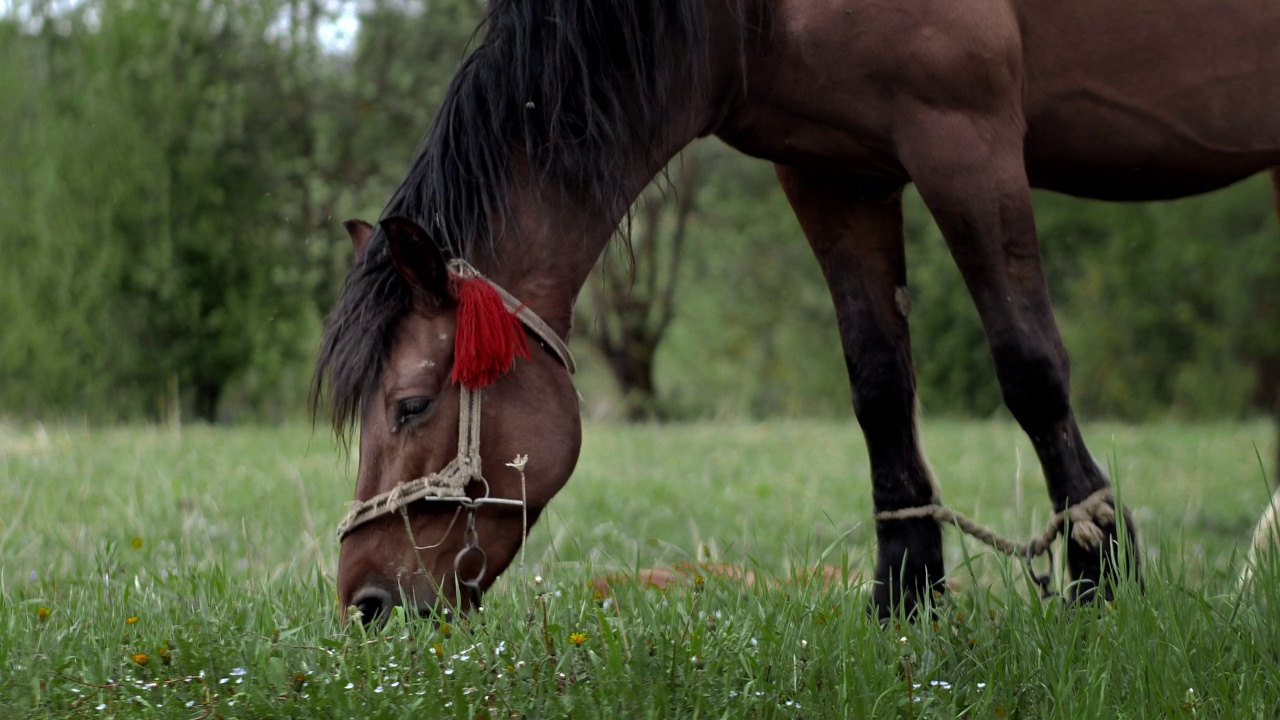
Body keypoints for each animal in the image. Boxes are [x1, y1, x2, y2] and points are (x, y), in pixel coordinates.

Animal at [312, 0, 1280, 620]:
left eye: (410, 405)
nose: (365, 600)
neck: (753, 12)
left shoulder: (967, 142)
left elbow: (1028, 363)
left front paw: (1098, 573)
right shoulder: (832, 173)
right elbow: (878, 382)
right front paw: (905, 596)